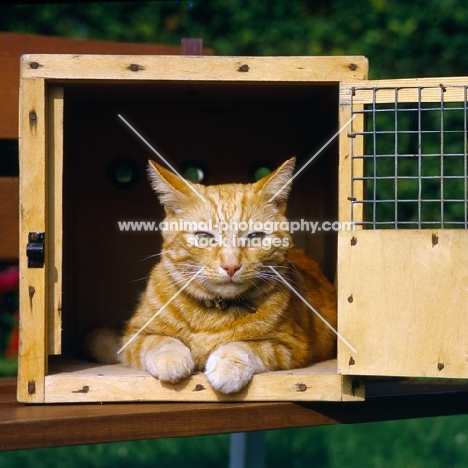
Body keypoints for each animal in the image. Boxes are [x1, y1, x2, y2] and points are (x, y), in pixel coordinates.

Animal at [114, 158, 336, 394]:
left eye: (255, 237)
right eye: (204, 236)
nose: (231, 266)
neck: (214, 313)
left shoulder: (291, 346)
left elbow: (247, 346)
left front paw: (228, 366)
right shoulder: (133, 338)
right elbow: (160, 341)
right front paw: (170, 359)